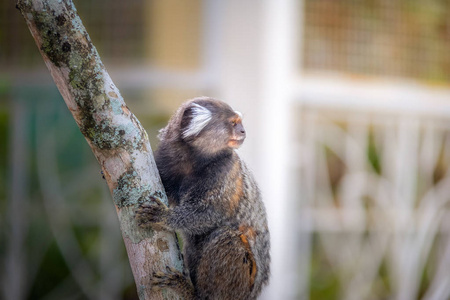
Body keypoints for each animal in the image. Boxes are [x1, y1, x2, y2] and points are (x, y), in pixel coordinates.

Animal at [136, 97, 270, 298]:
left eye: (239, 123)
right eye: (234, 123)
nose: (243, 131)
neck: (193, 160)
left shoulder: (224, 170)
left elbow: (211, 213)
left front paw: (164, 217)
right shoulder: (163, 160)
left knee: (227, 238)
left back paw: (190, 291)